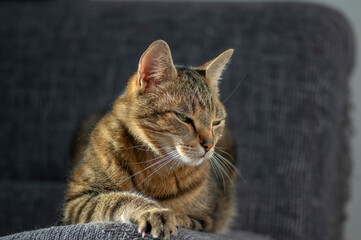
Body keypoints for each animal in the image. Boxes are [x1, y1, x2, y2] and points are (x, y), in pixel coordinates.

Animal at [61, 39, 236, 238]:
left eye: (216, 122)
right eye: (183, 118)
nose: (209, 145)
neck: (156, 167)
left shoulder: (205, 220)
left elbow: (183, 217)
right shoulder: (77, 200)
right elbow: (119, 199)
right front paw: (154, 210)